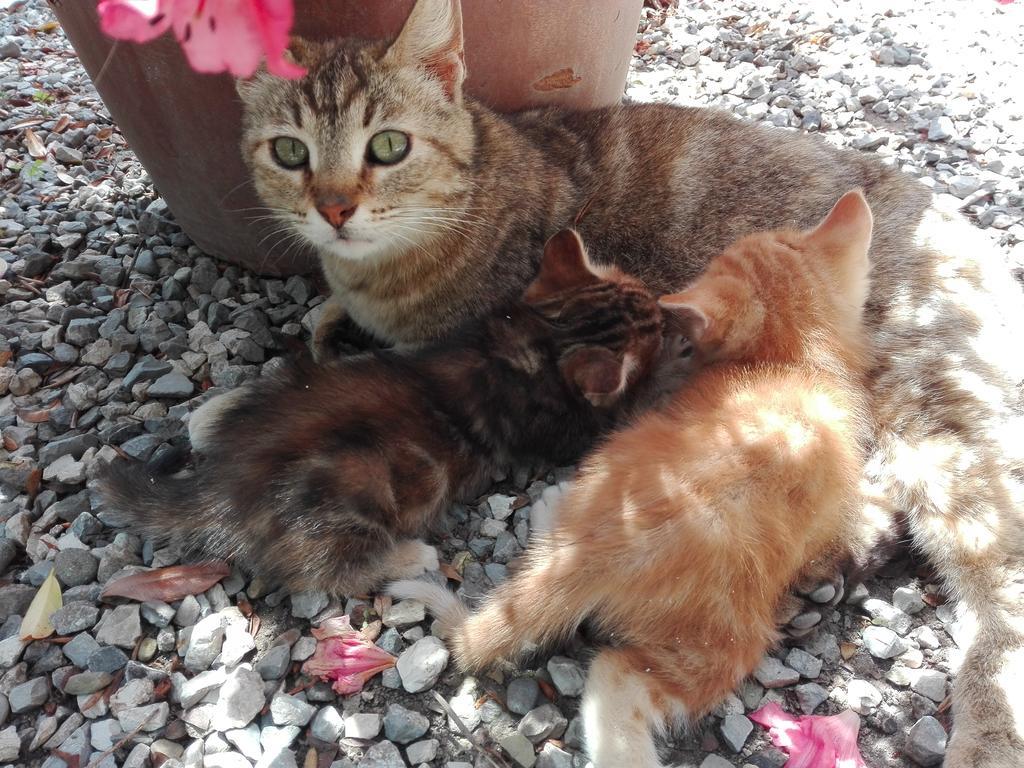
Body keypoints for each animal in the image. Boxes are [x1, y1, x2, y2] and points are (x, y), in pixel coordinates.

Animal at [99, 231, 675, 598]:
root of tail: (222, 489)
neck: (539, 336)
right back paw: (408, 557)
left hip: (290, 384)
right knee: (317, 571)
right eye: (653, 324)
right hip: (355, 486)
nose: (666, 310)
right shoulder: (556, 430)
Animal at [234, 1, 1024, 765]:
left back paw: (985, 730)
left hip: (938, 424)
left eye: (389, 146)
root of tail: (964, 231)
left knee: (999, 582)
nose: (335, 209)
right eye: (290, 152)